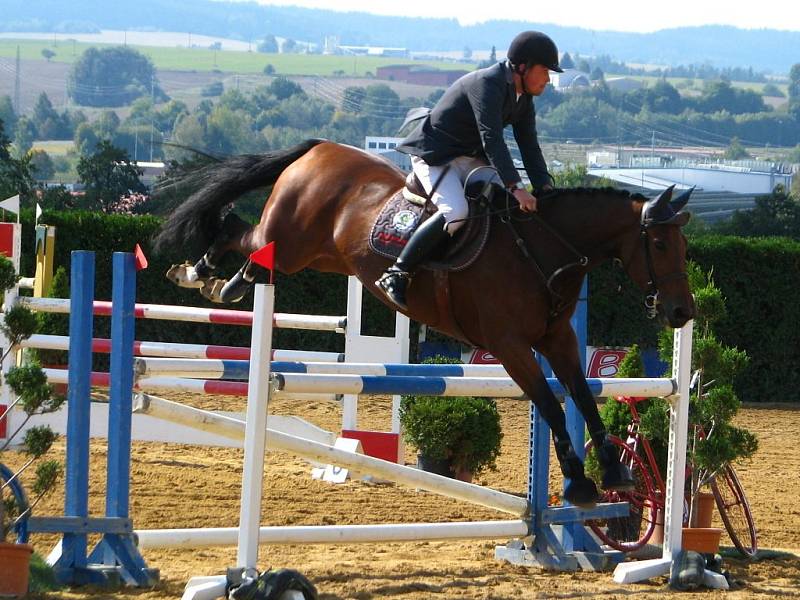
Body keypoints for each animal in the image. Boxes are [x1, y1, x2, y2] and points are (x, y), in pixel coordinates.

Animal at [155, 139, 692, 506]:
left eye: (683, 246)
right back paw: (206, 278)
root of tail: (319, 149)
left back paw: (218, 281)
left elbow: (582, 396)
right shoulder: (511, 346)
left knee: (248, 243)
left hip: (323, 255)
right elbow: (552, 406)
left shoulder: (557, 338)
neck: (540, 248)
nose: (682, 312)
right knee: (241, 234)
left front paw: (613, 474)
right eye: (659, 244)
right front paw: (580, 485)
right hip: (291, 241)